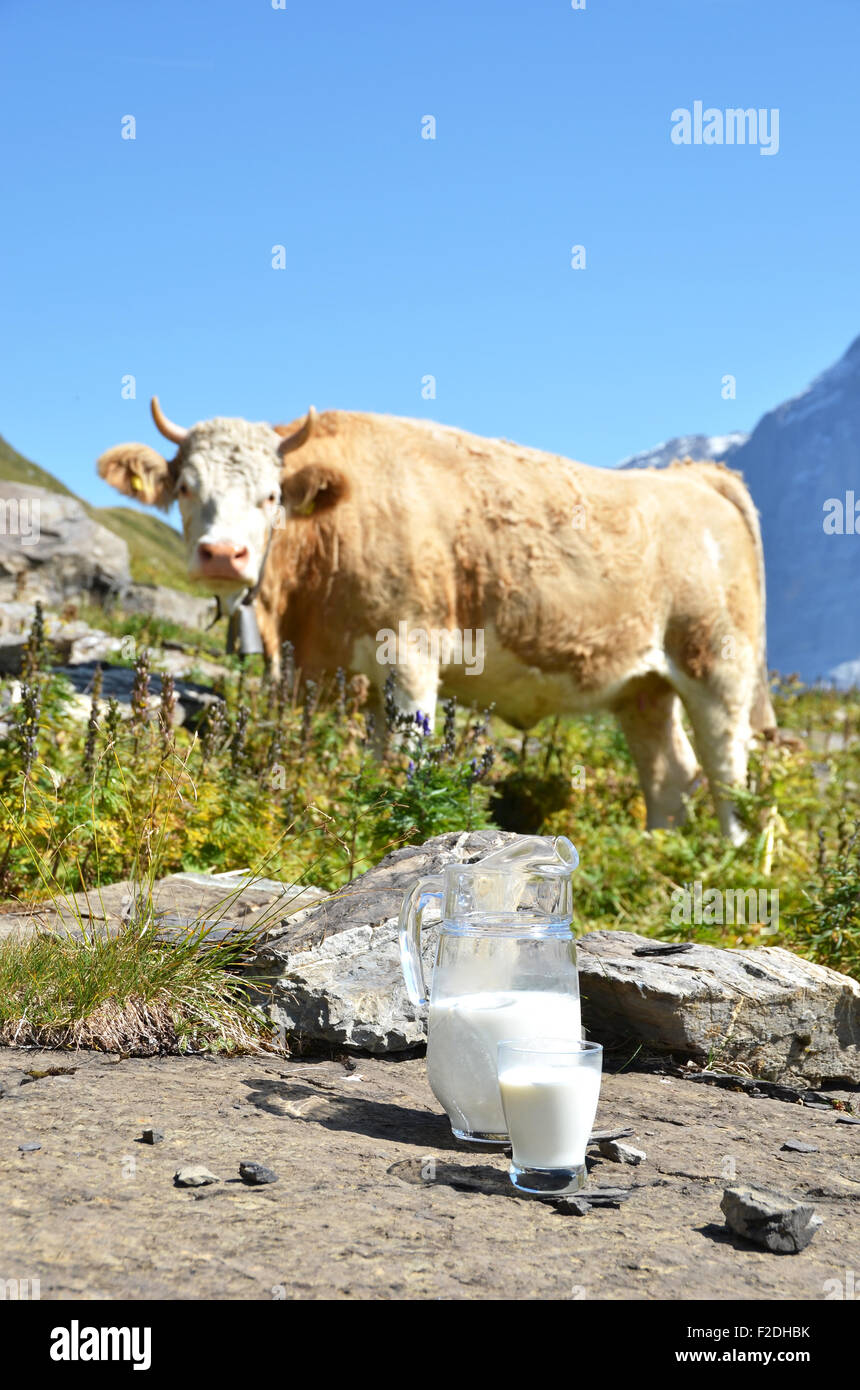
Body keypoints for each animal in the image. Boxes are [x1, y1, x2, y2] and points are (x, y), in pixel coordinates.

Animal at [97, 397, 778, 839]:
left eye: (270, 496)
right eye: (186, 487)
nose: (222, 554)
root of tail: (694, 479)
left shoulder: (409, 648)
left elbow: (401, 760)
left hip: (718, 662)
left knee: (730, 774)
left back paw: (734, 866)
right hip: (644, 686)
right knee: (672, 774)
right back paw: (657, 855)